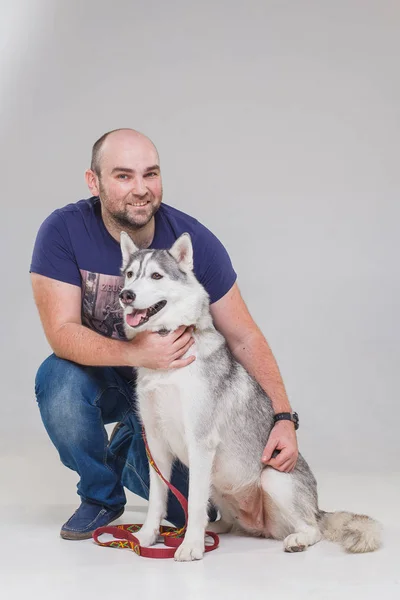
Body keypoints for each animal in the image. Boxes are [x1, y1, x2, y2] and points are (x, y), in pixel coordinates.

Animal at [118, 232, 382, 560]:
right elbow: (157, 500)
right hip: (217, 485)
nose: (126, 295)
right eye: (130, 274)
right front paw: (146, 537)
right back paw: (213, 530)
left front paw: (190, 546)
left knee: (313, 528)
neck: (168, 368)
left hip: (272, 477)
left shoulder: (200, 441)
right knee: (227, 520)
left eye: (156, 276)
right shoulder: (155, 444)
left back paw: (297, 539)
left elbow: (193, 503)